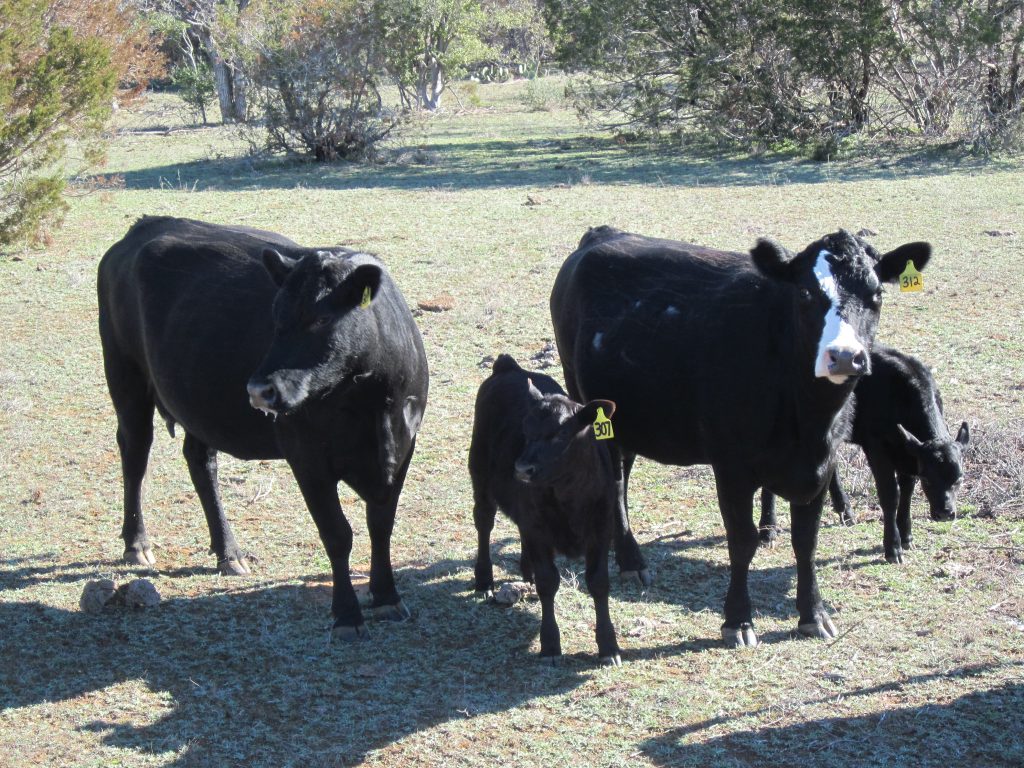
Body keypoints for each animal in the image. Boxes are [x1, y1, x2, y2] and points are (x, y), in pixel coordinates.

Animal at [97, 216, 428, 639]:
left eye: (322, 318)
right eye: (275, 316)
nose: (259, 390)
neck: (370, 405)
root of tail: (145, 225)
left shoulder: (401, 450)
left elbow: (381, 525)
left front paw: (387, 596)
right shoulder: (306, 457)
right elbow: (337, 535)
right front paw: (346, 614)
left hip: (197, 404)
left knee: (200, 461)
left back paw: (228, 553)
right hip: (126, 376)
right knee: (135, 453)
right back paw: (137, 544)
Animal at [469, 354, 622, 665]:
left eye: (561, 432)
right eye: (525, 431)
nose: (521, 469)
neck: (569, 495)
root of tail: (509, 367)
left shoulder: (602, 528)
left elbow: (599, 582)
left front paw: (608, 646)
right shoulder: (538, 529)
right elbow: (548, 582)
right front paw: (550, 644)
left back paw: (525, 570)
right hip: (479, 472)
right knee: (484, 521)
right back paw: (484, 580)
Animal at [550, 225, 931, 647]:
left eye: (876, 294)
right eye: (805, 293)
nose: (845, 356)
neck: (806, 418)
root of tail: (601, 235)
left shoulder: (821, 462)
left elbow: (806, 540)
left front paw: (813, 614)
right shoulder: (731, 466)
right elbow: (742, 539)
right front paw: (738, 620)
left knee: (622, 476)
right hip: (585, 399)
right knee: (614, 481)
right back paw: (632, 560)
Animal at [759, 343, 969, 563]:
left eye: (960, 479)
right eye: (928, 480)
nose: (945, 512)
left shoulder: (908, 454)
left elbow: (907, 492)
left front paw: (906, 537)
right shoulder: (876, 448)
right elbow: (890, 495)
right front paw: (893, 548)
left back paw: (845, 510)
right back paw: (768, 530)